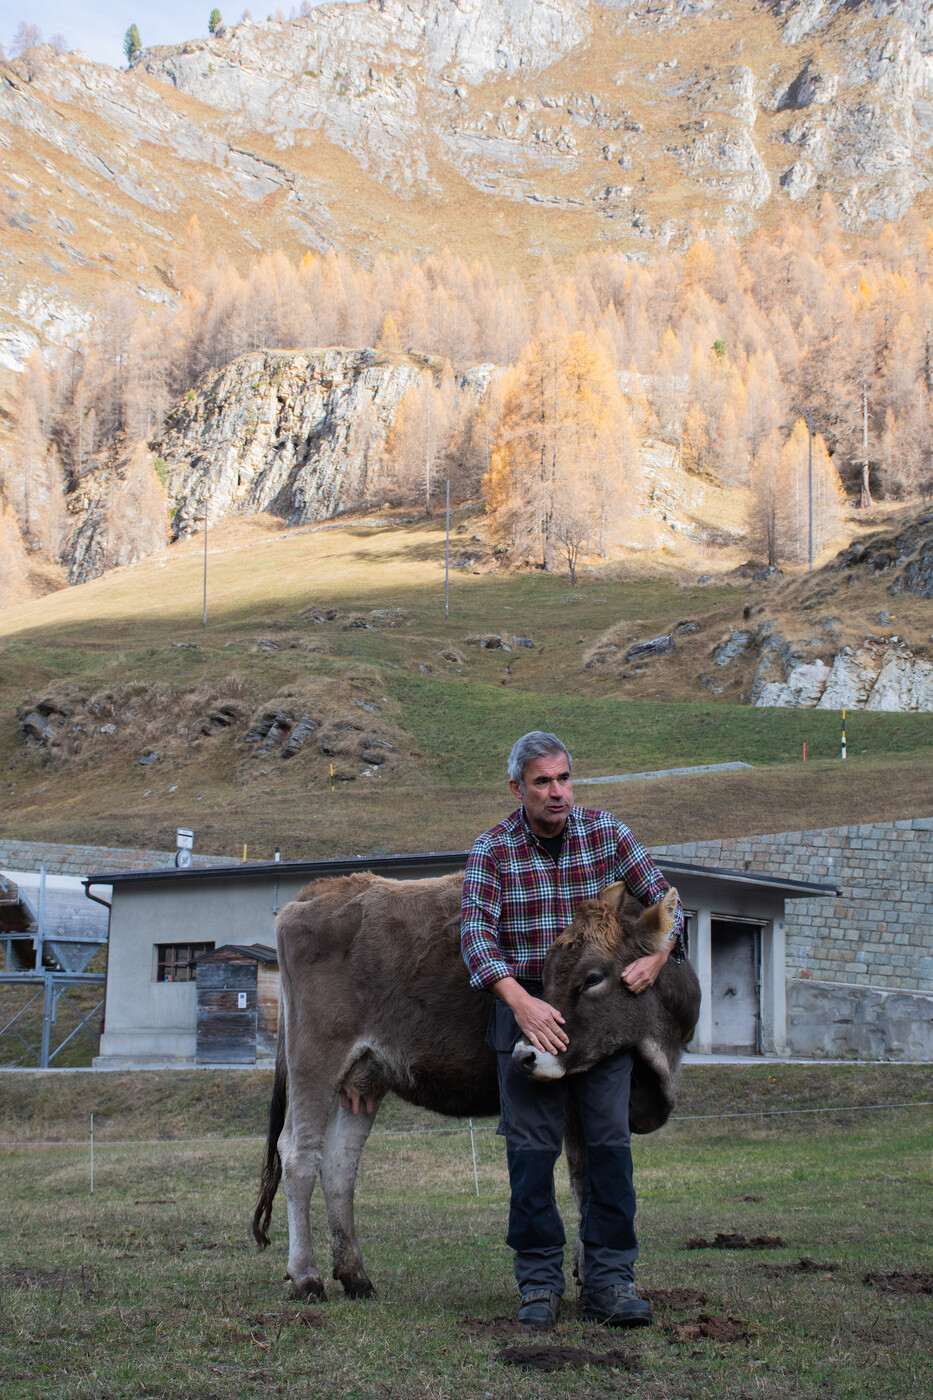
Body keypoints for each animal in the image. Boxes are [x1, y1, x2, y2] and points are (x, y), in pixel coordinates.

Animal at [252, 871, 700, 1302]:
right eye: (545, 975)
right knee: (299, 1155)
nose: (525, 1056)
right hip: (315, 1061)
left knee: (340, 1165)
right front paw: (590, 1275)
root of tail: (322, 889)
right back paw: (306, 1277)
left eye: (591, 978)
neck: (658, 1066)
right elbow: (584, 1184)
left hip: (364, 1078)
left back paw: (356, 1277)